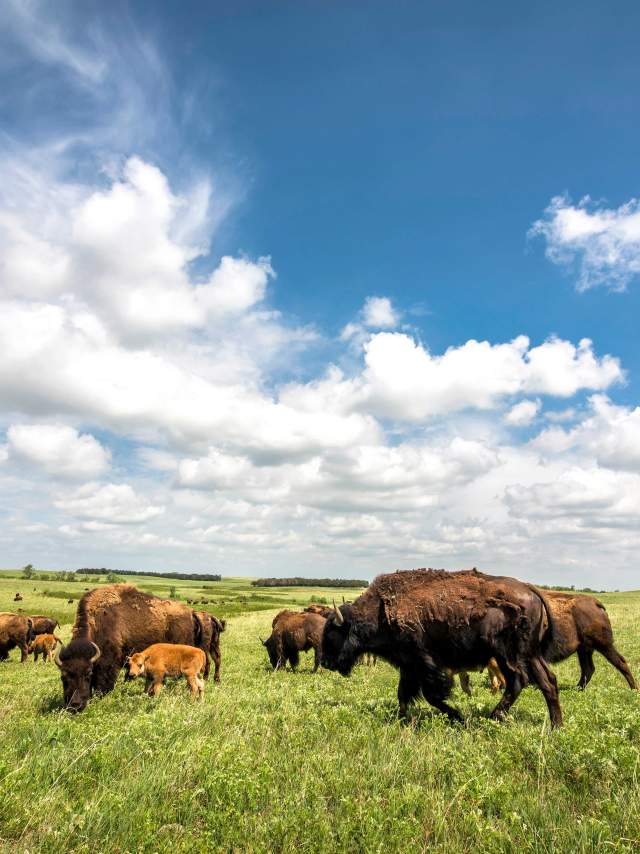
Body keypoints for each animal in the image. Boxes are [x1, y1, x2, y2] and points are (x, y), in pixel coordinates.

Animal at [55, 584, 224, 711]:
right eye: (63, 676)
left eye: (88, 674)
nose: (74, 706)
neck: (99, 621)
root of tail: (190, 613)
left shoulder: (108, 665)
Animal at [321, 568, 563, 728]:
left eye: (332, 633)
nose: (324, 662)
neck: (380, 610)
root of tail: (530, 589)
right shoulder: (408, 666)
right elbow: (403, 695)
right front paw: (402, 720)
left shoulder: (424, 663)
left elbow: (432, 695)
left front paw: (458, 717)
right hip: (529, 655)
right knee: (547, 682)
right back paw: (555, 726)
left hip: (509, 654)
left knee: (519, 681)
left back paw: (494, 717)